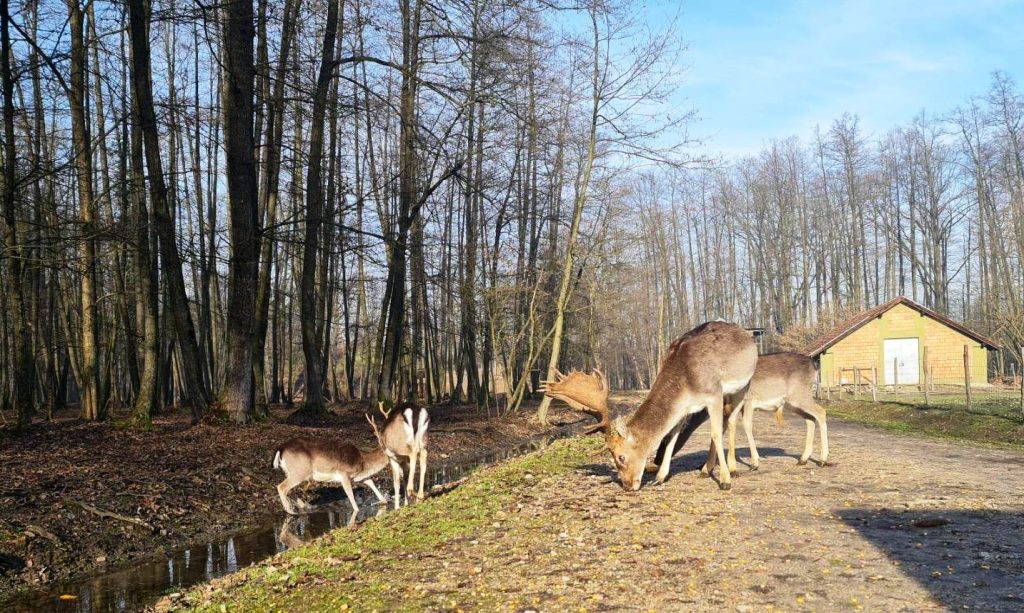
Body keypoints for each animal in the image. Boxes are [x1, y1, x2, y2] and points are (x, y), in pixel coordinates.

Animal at [540, 323, 757, 491]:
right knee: (726, 420)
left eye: (621, 457)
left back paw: (739, 468)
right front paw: (660, 477)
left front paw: (725, 481)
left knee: (731, 420)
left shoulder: (713, 393)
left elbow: (715, 433)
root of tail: (747, 334)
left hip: (744, 384)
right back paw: (707, 469)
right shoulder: (685, 408)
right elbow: (671, 435)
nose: (627, 486)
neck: (687, 383)